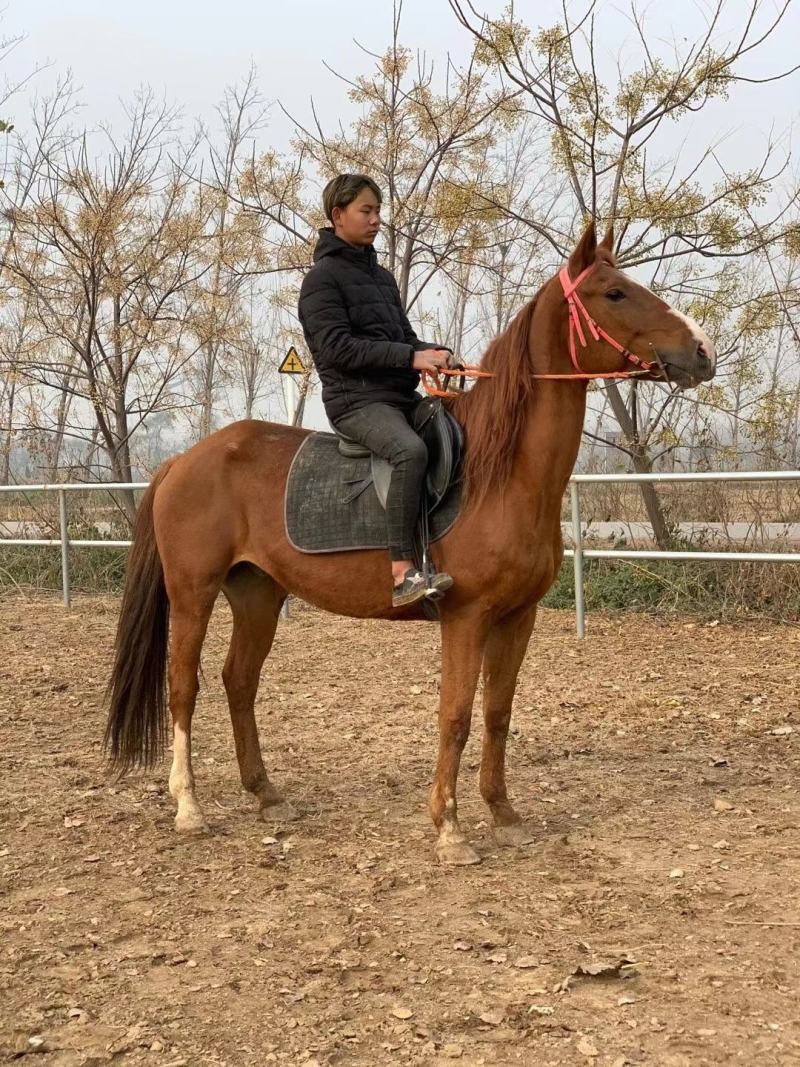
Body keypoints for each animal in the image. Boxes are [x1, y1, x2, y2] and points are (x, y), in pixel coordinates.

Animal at [104, 223, 716, 865]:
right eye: (614, 293)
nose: (702, 350)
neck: (499, 475)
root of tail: (182, 460)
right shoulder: (467, 618)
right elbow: (456, 717)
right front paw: (449, 829)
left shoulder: (518, 617)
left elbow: (497, 714)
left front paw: (504, 814)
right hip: (192, 594)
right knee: (184, 687)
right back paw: (189, 807)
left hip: (258, 595)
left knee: (238, 681)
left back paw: (266, 794)